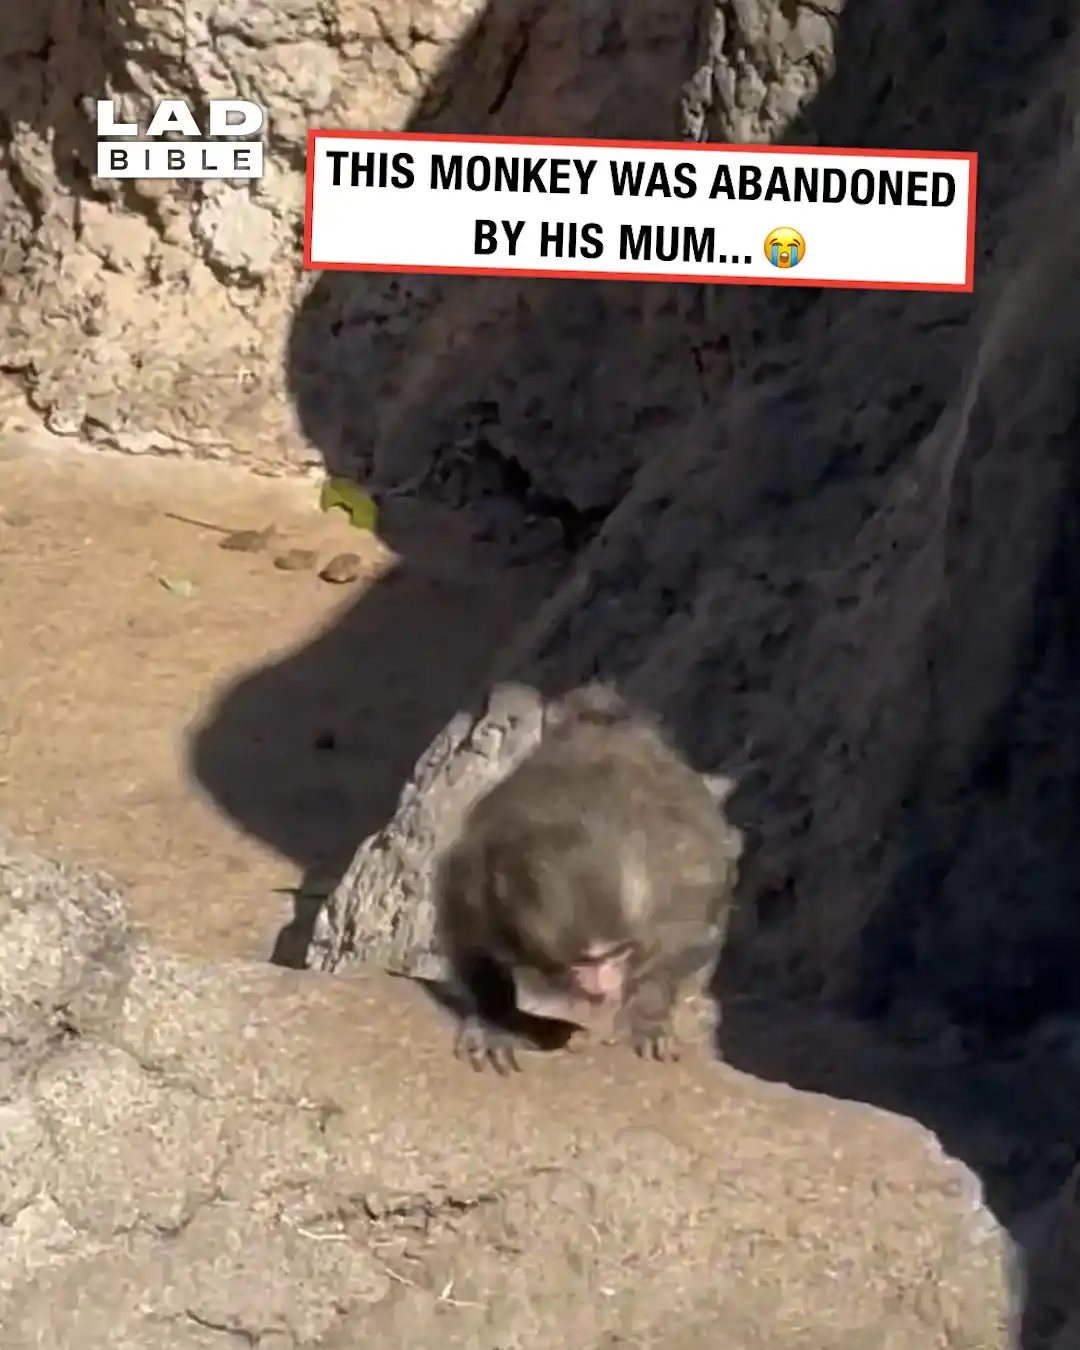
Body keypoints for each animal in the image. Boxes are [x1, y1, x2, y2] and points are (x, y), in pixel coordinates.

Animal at [432, 682, 743, 1074]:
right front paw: (494, 1021)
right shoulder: (479, 887)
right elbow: (471, 943)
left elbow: (687, 939)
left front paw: (647, 1017)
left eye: (617, 953)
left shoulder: (674, 885)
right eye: (584, 962)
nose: (602, 986)